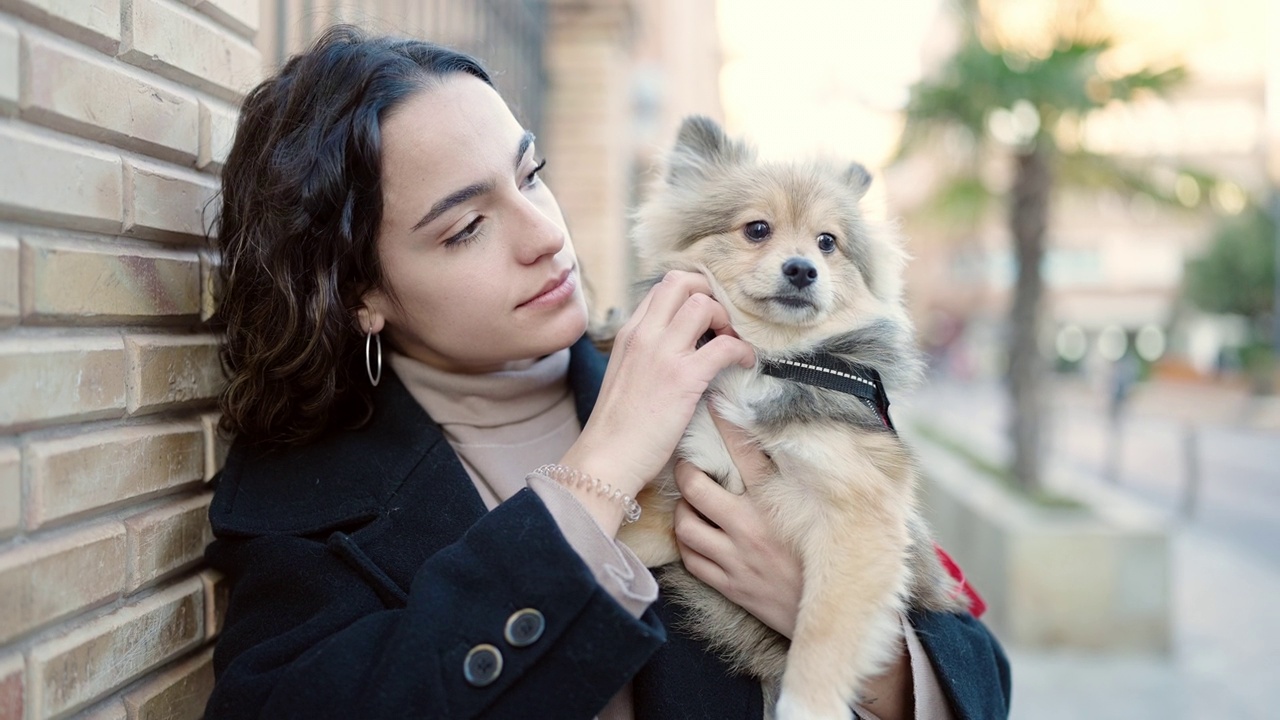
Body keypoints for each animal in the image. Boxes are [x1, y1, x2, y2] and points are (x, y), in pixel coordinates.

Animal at [619, 114, 967, 712]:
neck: (770, 357)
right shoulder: (688, 502)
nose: (803, 269)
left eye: (828, 243)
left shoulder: (858, 516)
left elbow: (823, 632)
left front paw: (808, 706)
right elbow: (629, 534)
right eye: (757, 229)